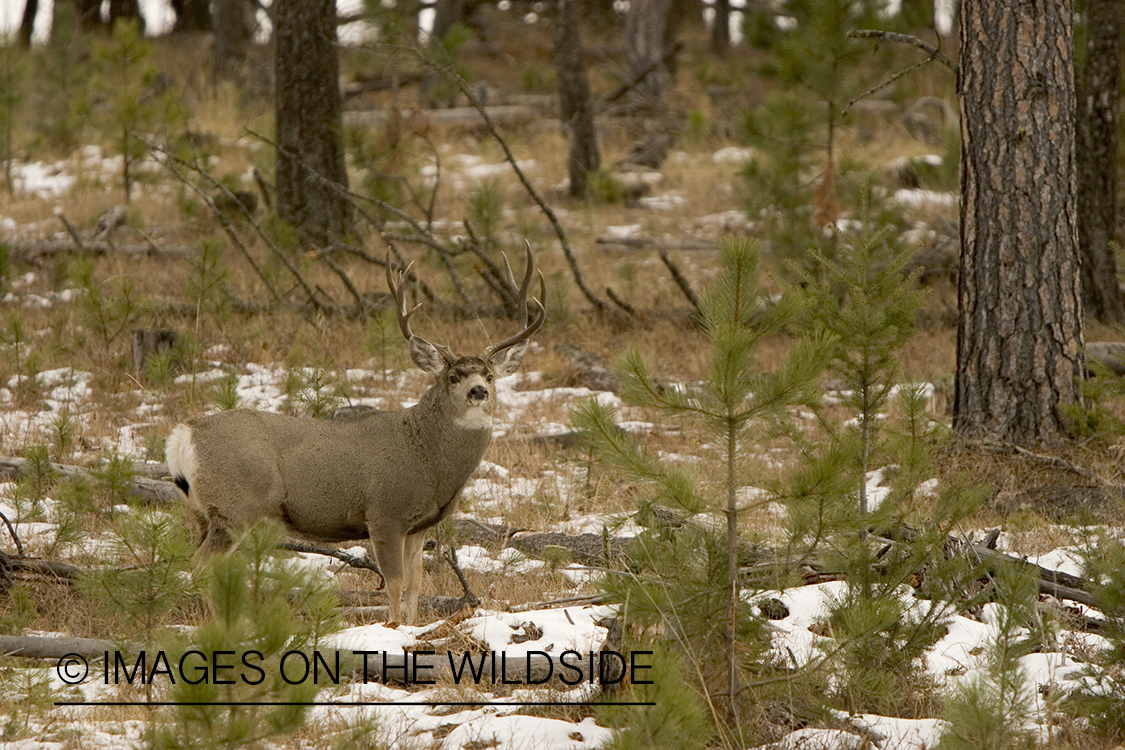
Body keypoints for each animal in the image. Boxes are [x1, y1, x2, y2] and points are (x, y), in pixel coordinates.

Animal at [166, 247, 545, 624]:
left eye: (490, 375)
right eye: (453, 377)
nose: (479, 391)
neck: (425, 454)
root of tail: (184, 434)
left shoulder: (418, 525)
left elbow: (415, 584)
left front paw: (411, 626)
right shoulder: (385, 512)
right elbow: (395, 581)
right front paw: (392, 626)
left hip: (205, 513)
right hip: (235, 505)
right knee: (202, 563)